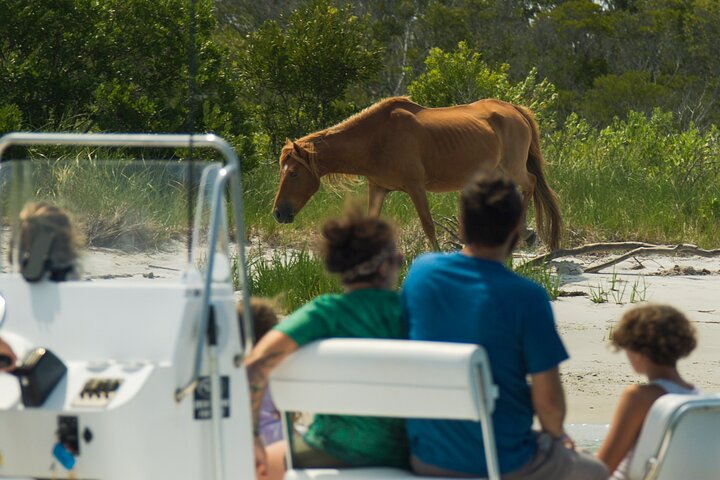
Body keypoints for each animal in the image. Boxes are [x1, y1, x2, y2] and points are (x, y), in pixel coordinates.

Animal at [272, 97, 562, 250]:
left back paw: (522, 233)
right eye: (281, 171)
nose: (278, 213)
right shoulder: (378, 188)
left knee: (531, 183)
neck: (375, 139)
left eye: (294, 173)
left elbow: (428, 226)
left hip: (513, 168)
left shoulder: (415, 186)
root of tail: (514, 109)